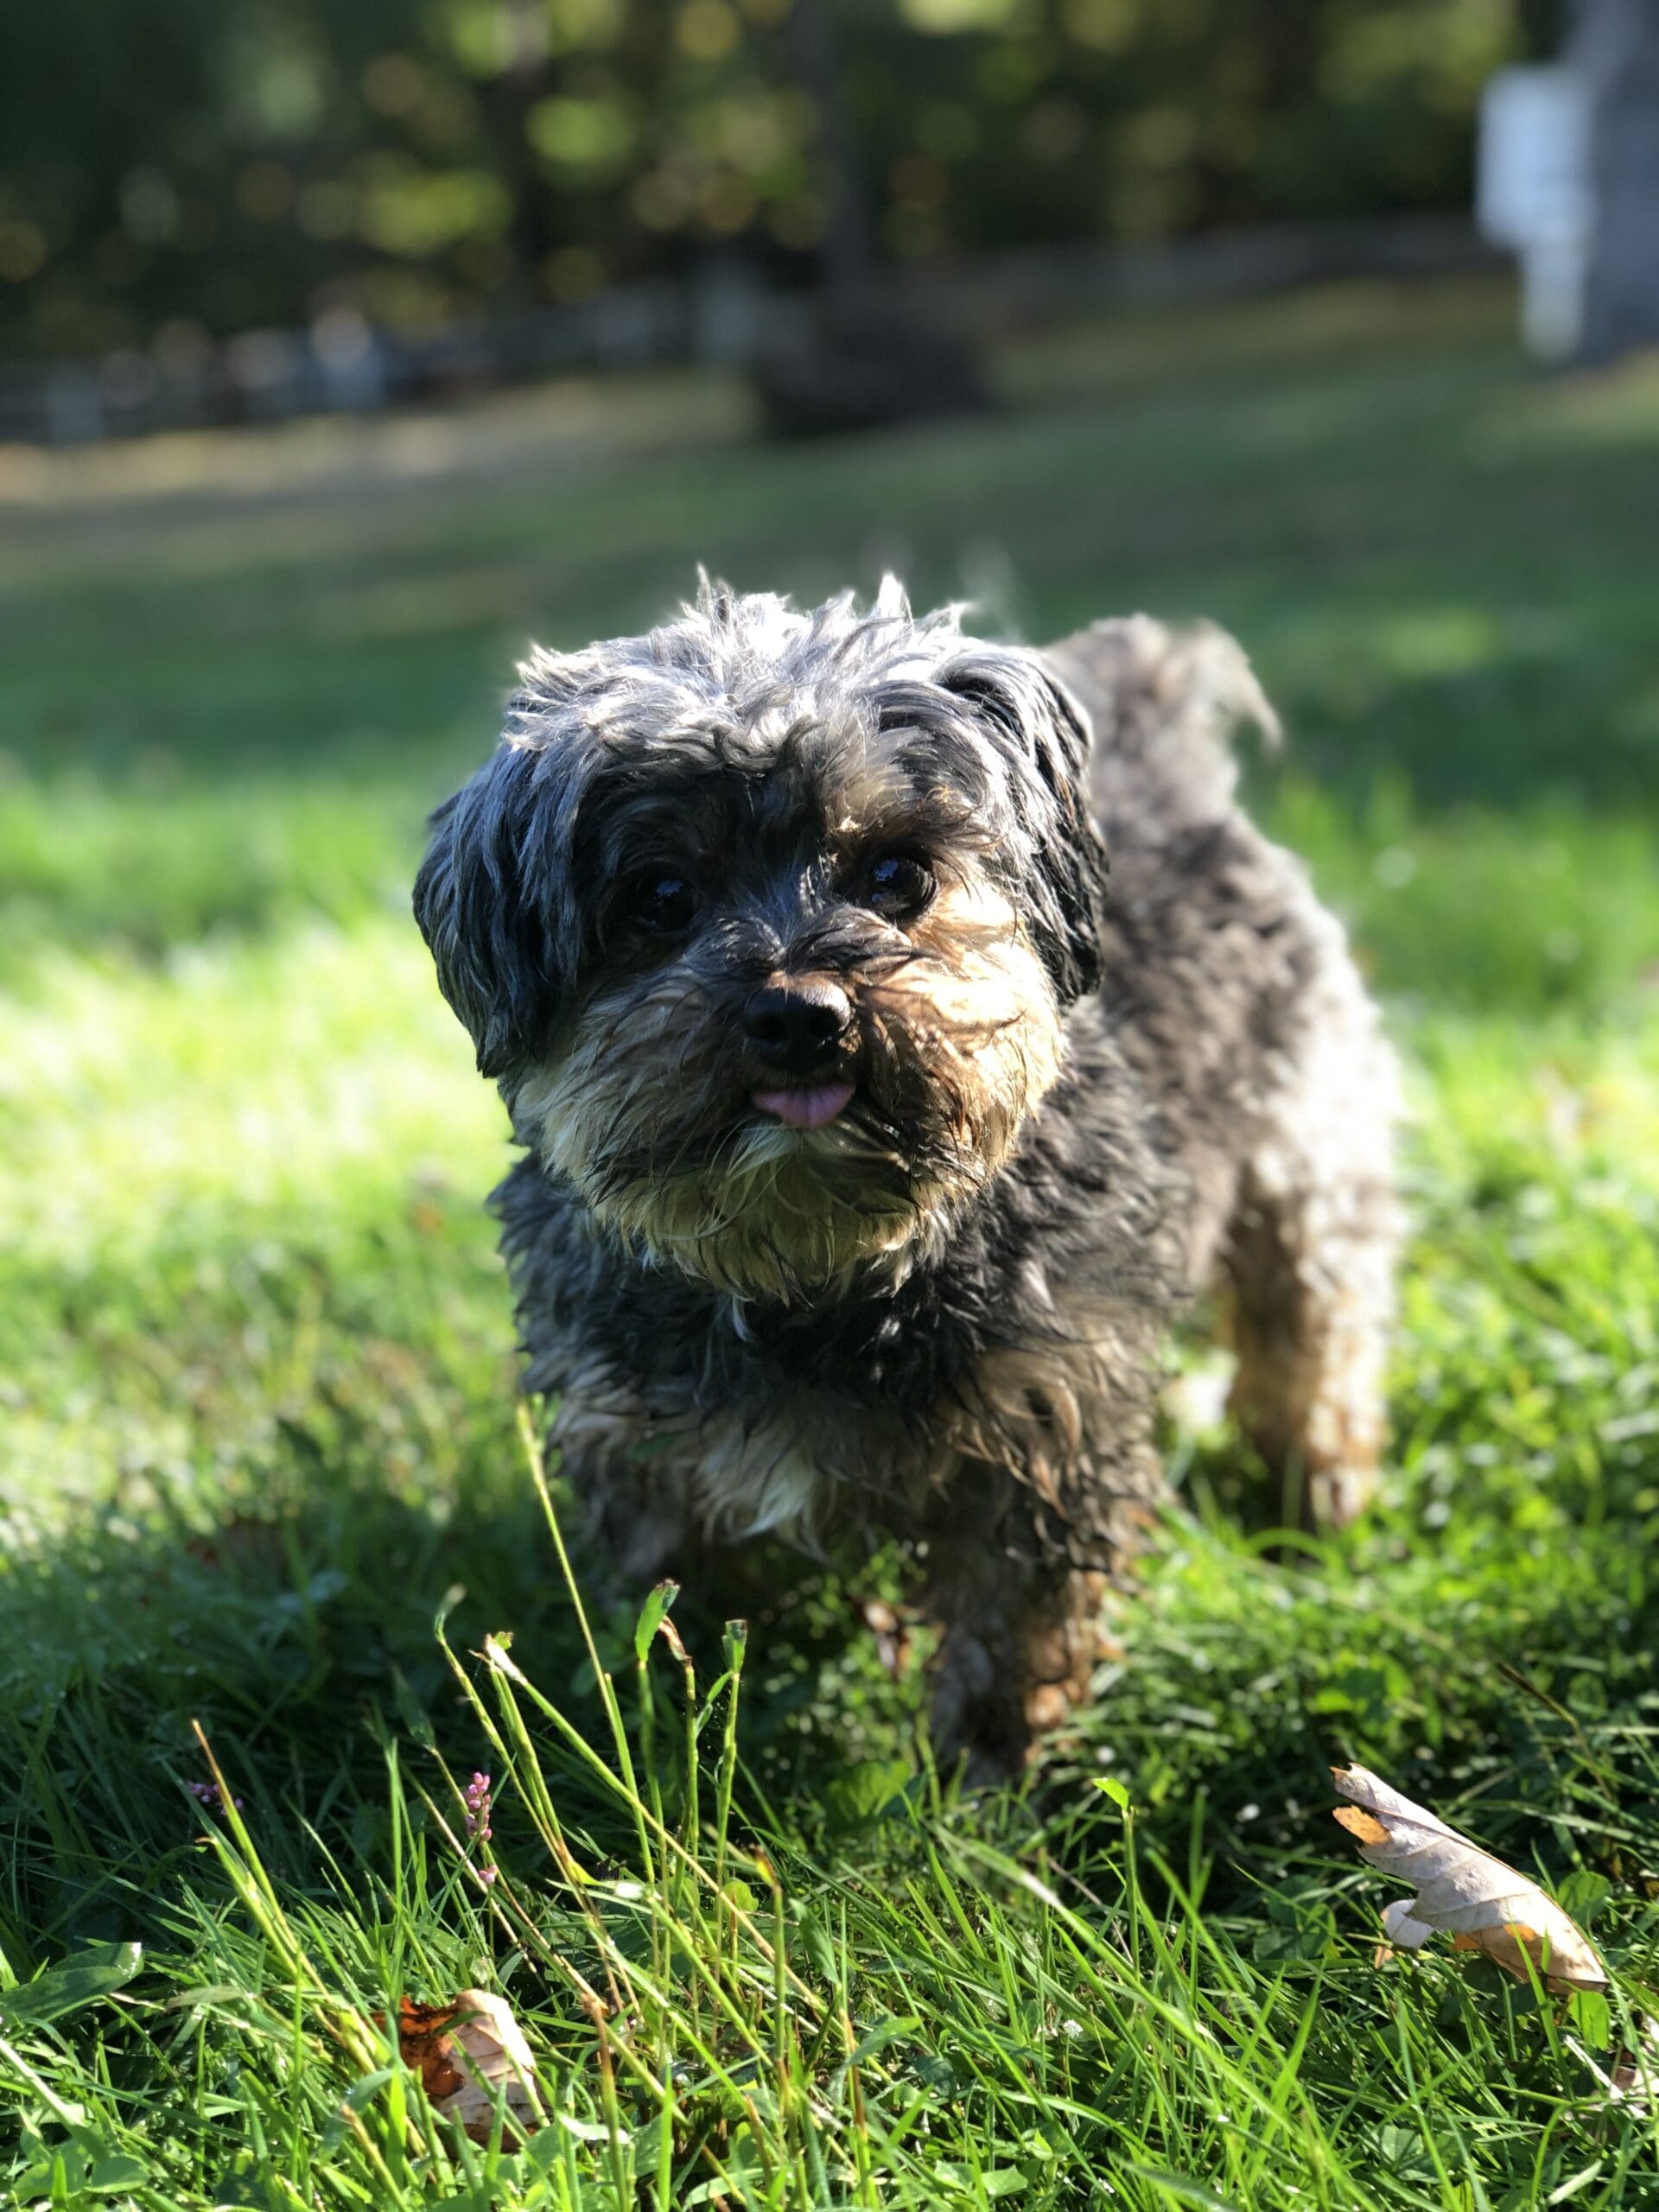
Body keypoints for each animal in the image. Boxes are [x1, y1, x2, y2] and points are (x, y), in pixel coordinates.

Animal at [416, 583, 1407, 1778]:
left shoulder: (1043, 1427)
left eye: (896, 874)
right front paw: (676, 1750)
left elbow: (1011, 1636)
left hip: (1307, 1158)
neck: (817, 1271)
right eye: (658, 896)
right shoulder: (642, 1449)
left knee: (1312, 1334)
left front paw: (989, 1785)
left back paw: (1320, 1498)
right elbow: (672, 1633)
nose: (801, 1013)